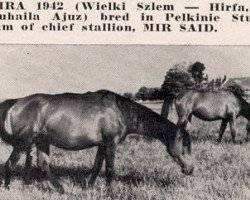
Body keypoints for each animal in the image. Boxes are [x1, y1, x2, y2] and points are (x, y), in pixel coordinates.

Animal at [0, 90, 193, 191]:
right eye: (183, 142)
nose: (190, 169)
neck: (121, 112)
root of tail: (16, 102)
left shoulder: (102, 145)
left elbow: (96, 166)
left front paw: (90, 187)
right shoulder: (111, 144)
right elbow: (109, 169)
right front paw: (110, 191)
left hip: (41, 141)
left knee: (43, 164)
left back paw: (61, 190)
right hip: (24, 142)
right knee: (10, 163)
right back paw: (8, 188)